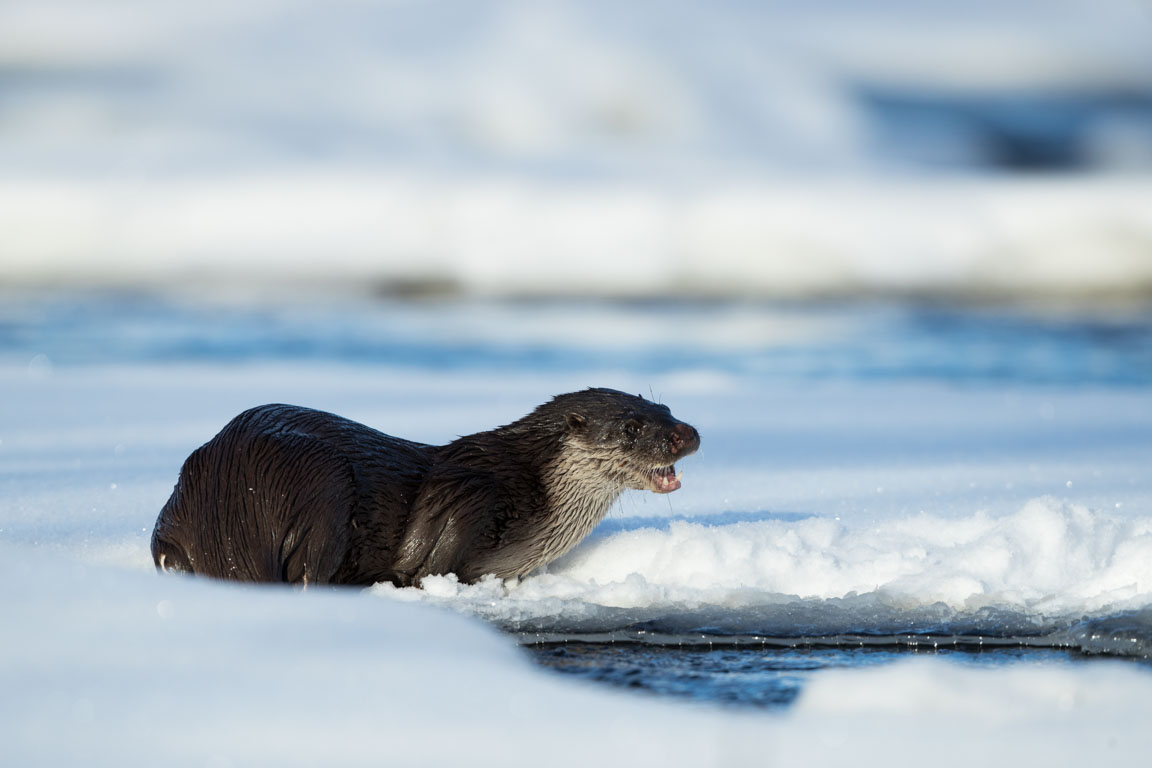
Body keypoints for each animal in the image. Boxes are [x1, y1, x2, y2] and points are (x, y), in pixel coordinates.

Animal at [149, 386, 695, 584]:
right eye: (631, 427)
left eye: (666, 408)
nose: (687, 434)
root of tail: (233, 500)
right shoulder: (471, 497)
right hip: (322, 483)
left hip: (172, 519)